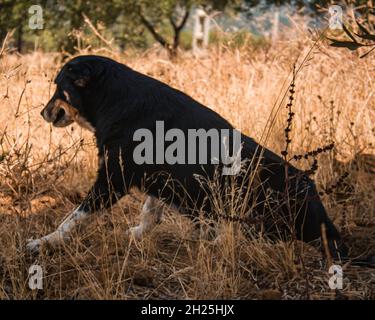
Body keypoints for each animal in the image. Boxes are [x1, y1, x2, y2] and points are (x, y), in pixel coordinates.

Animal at [25, 55, 374, 268]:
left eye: (59, 88)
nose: (41, 113)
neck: (114, 97)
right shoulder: (154, 176)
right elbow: (150, 212)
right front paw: (137, 235)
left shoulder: (113, 177)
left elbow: (73, 218)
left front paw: (44, 242)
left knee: (260, 238)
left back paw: (218, 240)